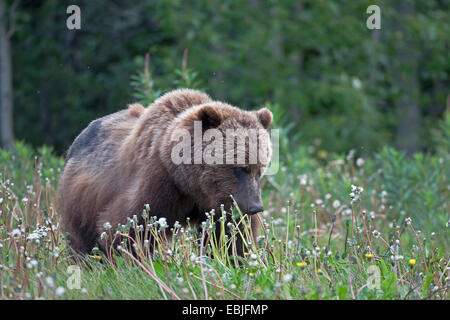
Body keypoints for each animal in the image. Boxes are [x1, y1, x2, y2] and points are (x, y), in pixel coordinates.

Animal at [58, 89, 272, 256]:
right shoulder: (157, 184)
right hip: (80, 201)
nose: (256, 207)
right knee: (81, 239)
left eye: (259, 169)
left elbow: (231, 234)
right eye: (239, 168)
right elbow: (127, 227)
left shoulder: (218, 202)